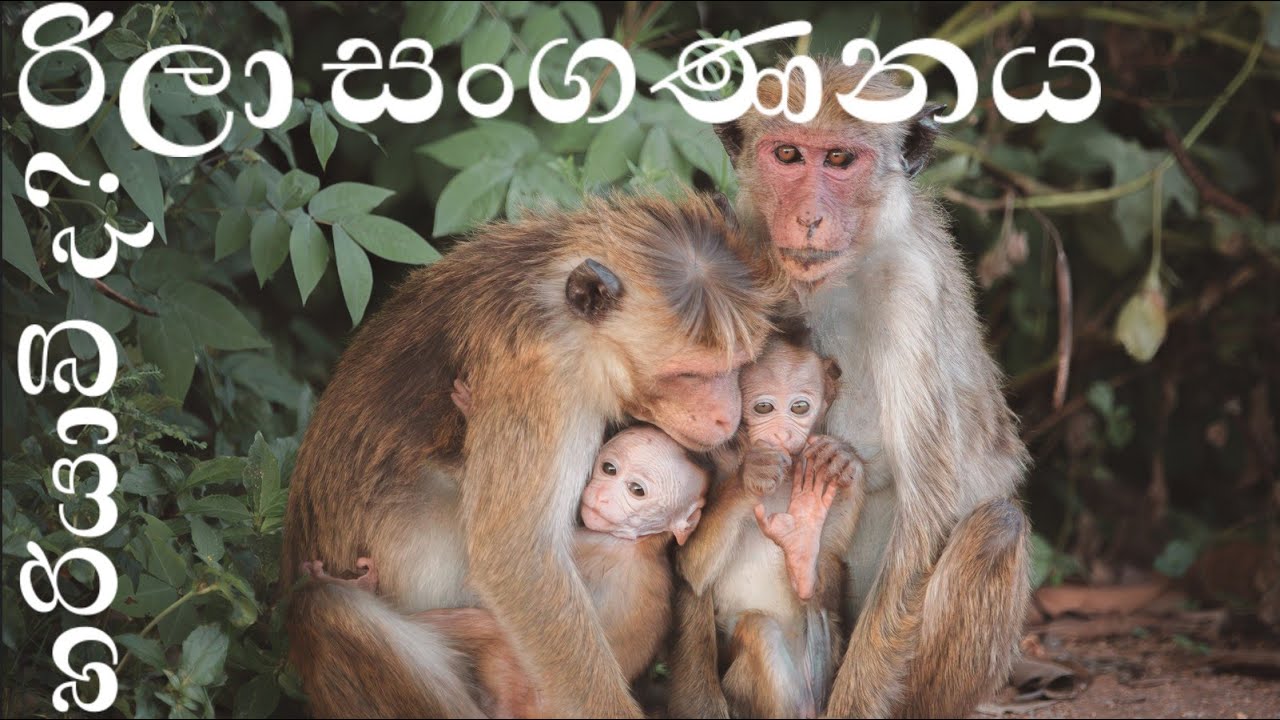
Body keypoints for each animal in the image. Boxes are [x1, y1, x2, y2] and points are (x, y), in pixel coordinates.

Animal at [304, 424, 712, 718]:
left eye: (636, 490)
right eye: (609, 468)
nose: (601, 494)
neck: (641, 541)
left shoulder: (594, 548)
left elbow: (503, 582)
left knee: (489, 626)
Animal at [673, 329, 865, 719]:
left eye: (799, 408)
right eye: (764, 408)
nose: (782, 435)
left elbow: (832, 560)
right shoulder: (708, 461)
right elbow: (691, 570)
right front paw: (751, 477)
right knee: (759, 630)